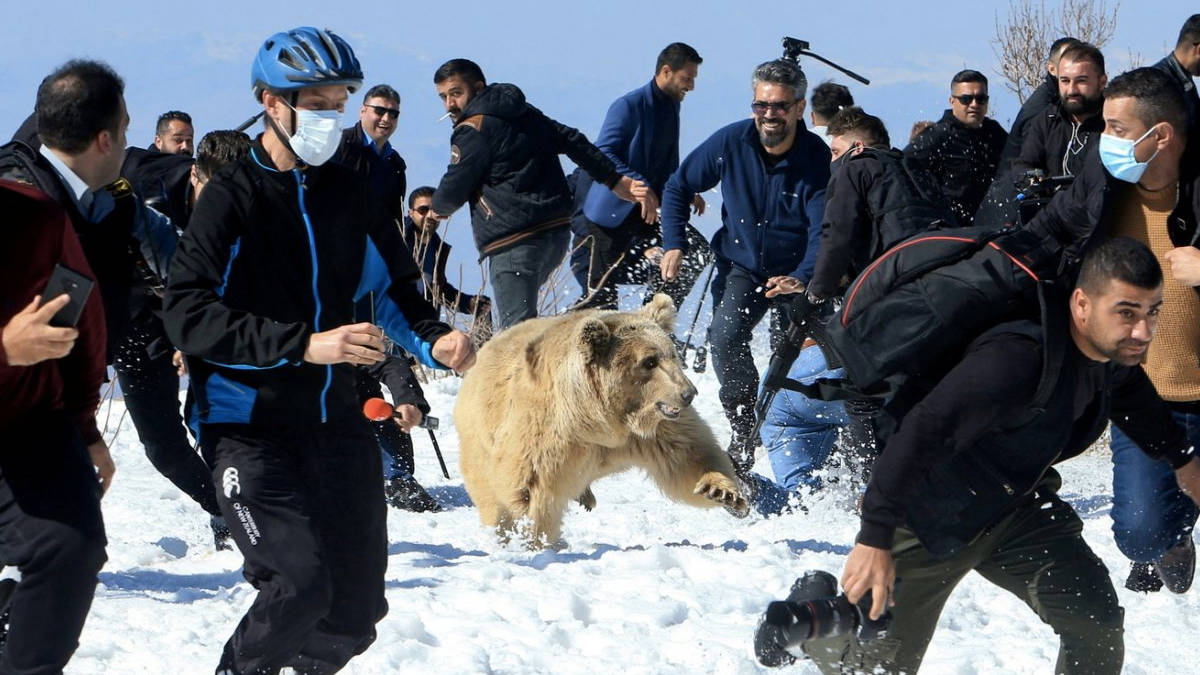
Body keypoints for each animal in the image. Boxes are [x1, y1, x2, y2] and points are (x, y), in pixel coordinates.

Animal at [453, 294, 744, 547]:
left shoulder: (654, 432)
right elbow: (529, 490)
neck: (602, 421)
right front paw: (536, 539)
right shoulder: (546, 432)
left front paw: (722, 491)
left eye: (672, 353)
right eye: (649, 361)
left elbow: (689, 456)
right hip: (479, 440)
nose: (688, 393)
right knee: (490, 495)